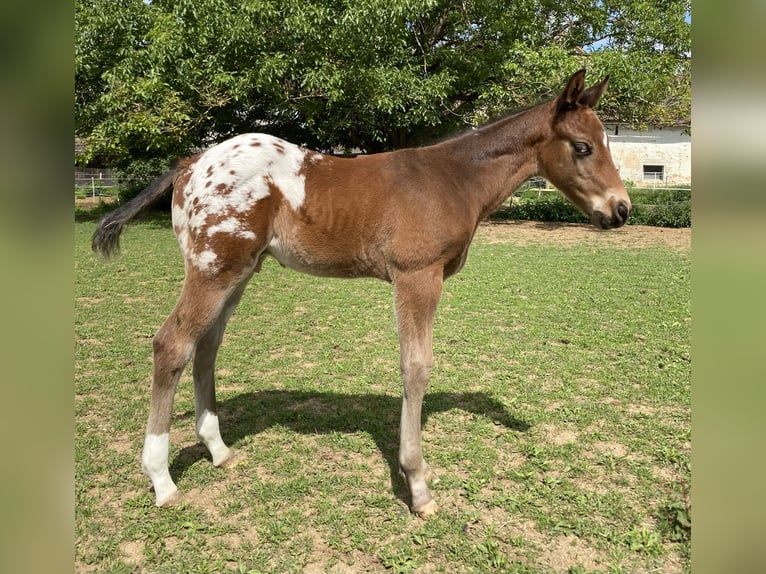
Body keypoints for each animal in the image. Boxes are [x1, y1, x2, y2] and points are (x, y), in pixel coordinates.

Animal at [92, 69, 631, 517]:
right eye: (583, 146)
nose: (621, 209)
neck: (452, 180)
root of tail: (190, 163)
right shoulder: (417, 277)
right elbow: (416, 366)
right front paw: (418, 486)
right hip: (213, 270)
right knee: (172, 345)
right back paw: (161, 479)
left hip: (238, 273)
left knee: (206, 347)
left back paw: (219, 451)